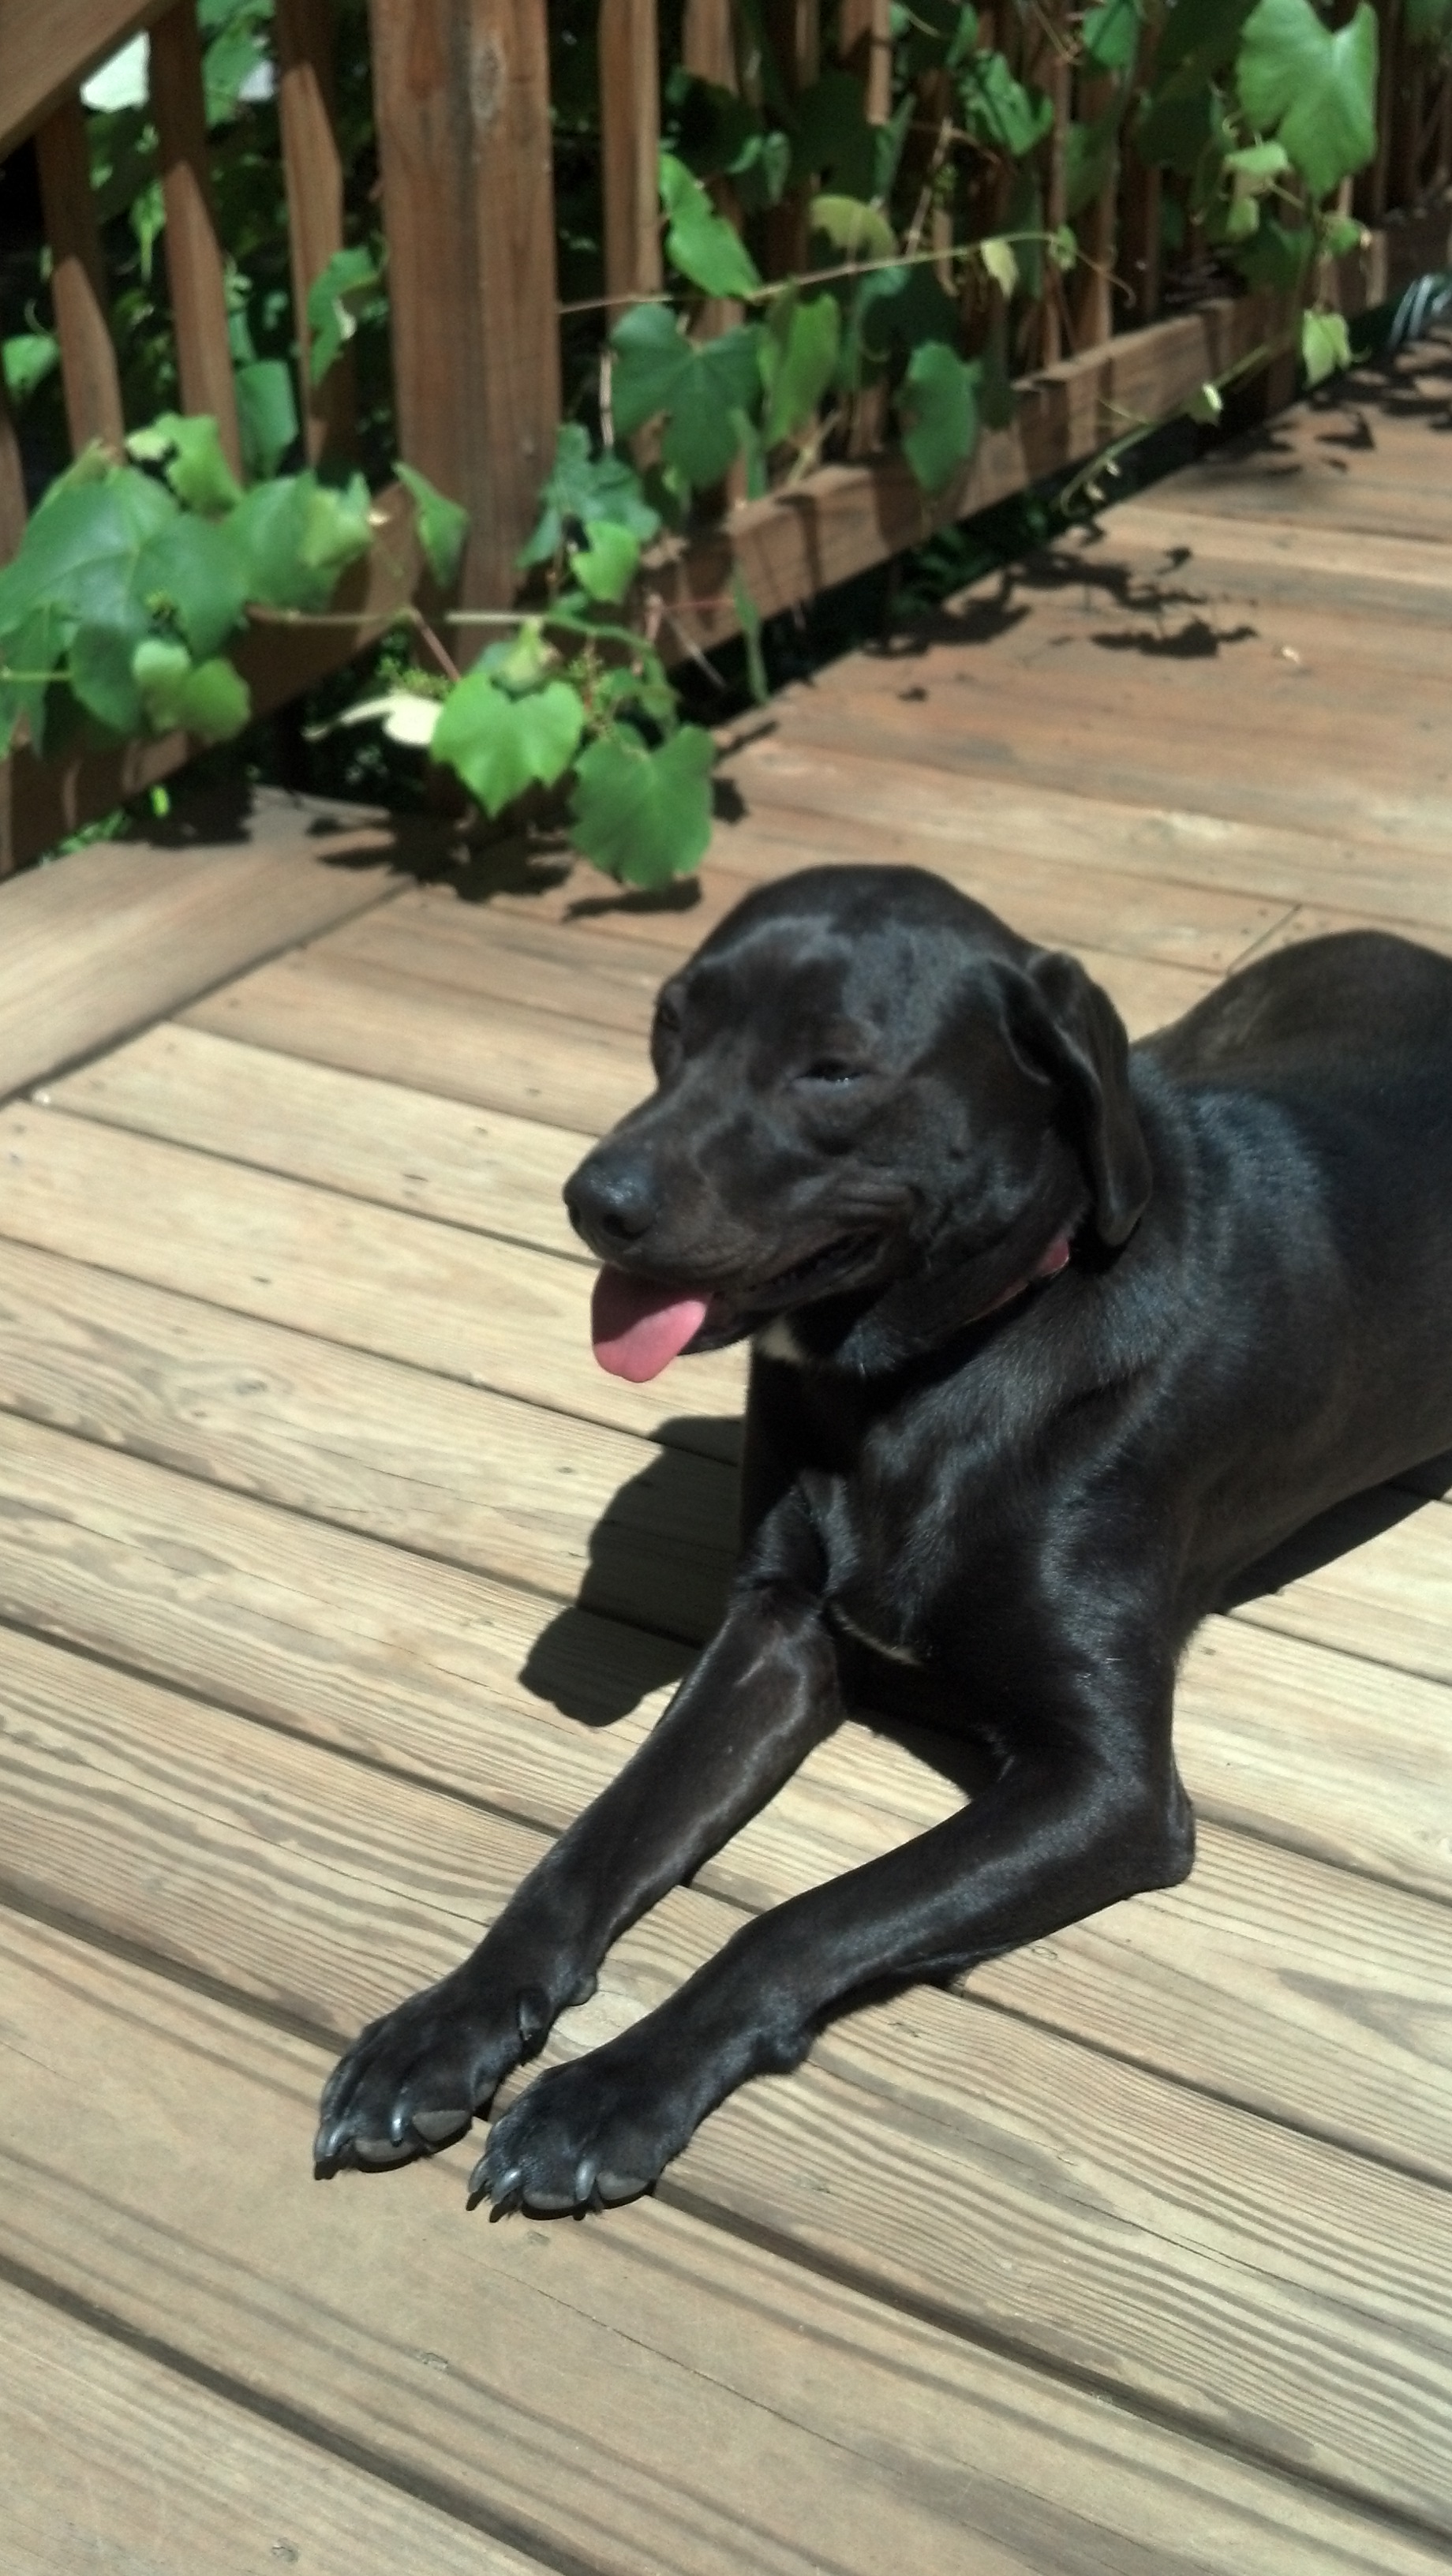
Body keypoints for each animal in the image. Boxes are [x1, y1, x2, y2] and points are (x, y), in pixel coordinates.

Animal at [317, 863, 1452, 2212]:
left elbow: (805, 1918)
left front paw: (609, 2095)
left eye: (835, 1070)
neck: (929, 1377)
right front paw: (443, 2027)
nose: (594, 1202)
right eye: (670, 1024)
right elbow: (592, 1844)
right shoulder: (777, 1635)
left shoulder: (1108, 1785)